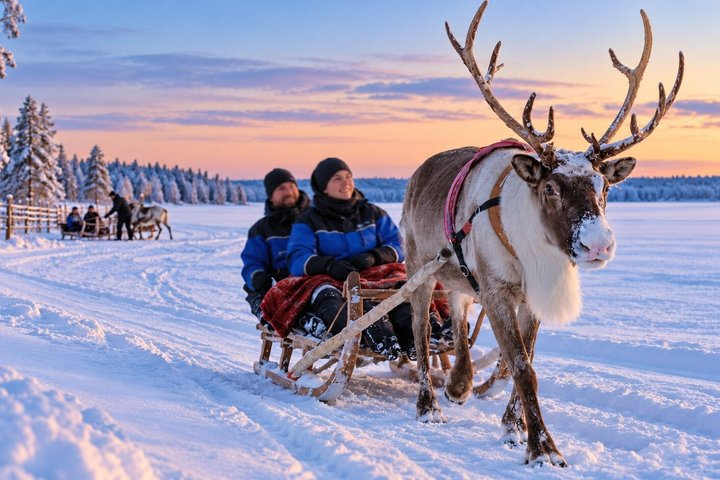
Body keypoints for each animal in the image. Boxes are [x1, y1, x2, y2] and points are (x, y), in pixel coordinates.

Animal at [401, 0, 683, 467]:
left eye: (604, 186)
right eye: (550, 187)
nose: (598, 244)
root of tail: (419, 172)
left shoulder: (529, 295)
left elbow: (524, 358)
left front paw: (512, 427)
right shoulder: (497, 288)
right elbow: (521, 365)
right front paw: (543, 447)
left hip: (459, 275)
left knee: (458, 315)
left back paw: (459, 383)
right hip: (417, 265)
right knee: (422, 332)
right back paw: (429, 405)